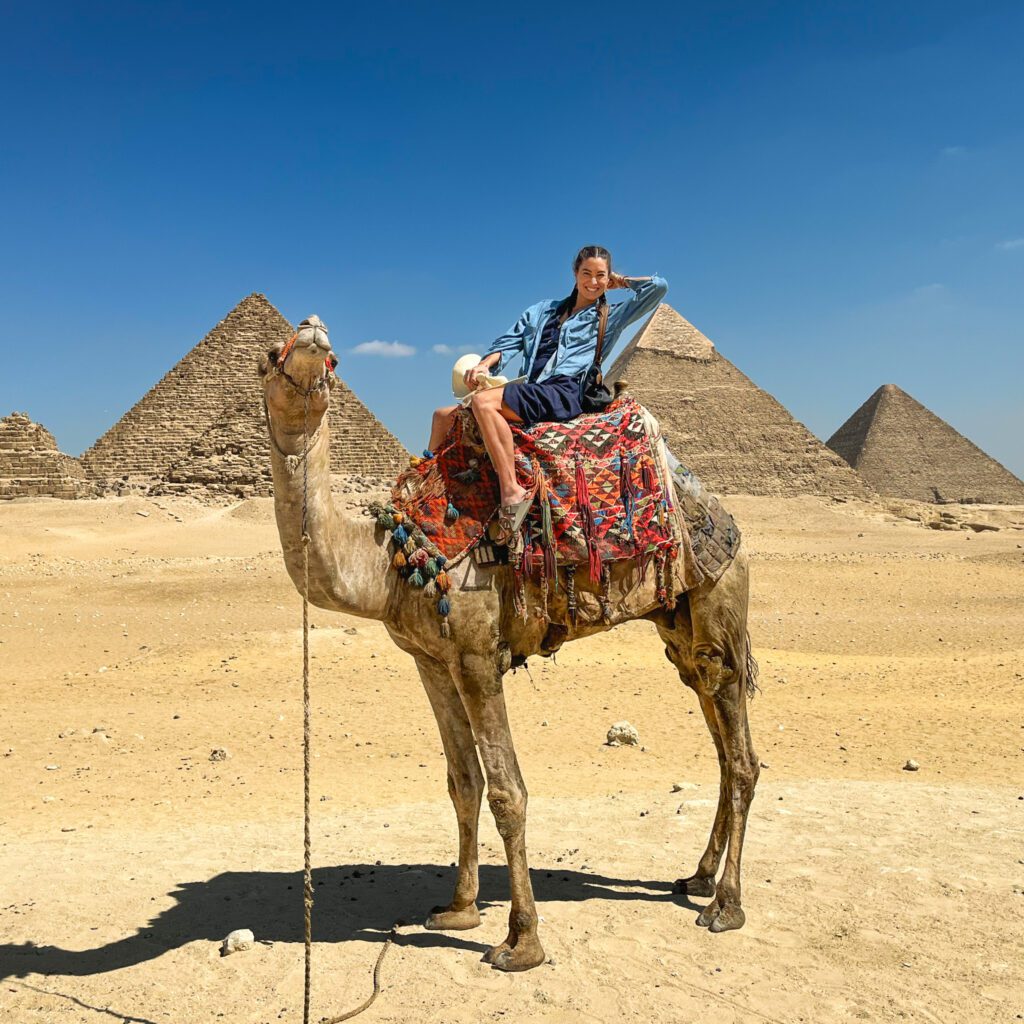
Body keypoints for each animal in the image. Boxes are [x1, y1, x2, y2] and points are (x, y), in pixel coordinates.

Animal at [262, 315, 761, 970]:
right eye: (271, 354)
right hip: (678, 628)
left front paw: (521, 941)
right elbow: (462, 782)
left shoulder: (477, 657)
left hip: (717, 602)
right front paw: (459, 908)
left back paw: (725, 905)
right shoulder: (429, 660)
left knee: (741, 757)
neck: (392, 559)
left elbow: (507, 791)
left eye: (332, 360)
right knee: (722, 740)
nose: (311, 331)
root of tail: (724, 520)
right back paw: (699, 877)